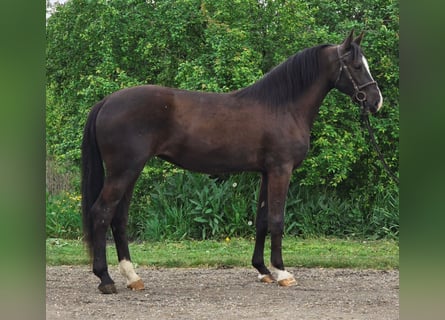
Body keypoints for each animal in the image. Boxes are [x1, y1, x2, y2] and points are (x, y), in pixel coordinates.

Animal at [80, 31, 382, 294]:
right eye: (356, 65)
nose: (376, 102)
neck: (282, 106)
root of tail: (106, 101)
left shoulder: (266, 172)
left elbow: (261, 220)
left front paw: (263, 270)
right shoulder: (281, 170)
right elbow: (277, 220)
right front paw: (282, 272)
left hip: (130, 172)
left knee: (119, 218)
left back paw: (132, 277)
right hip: (123, 171)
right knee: (101, 214)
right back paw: (105, 279)